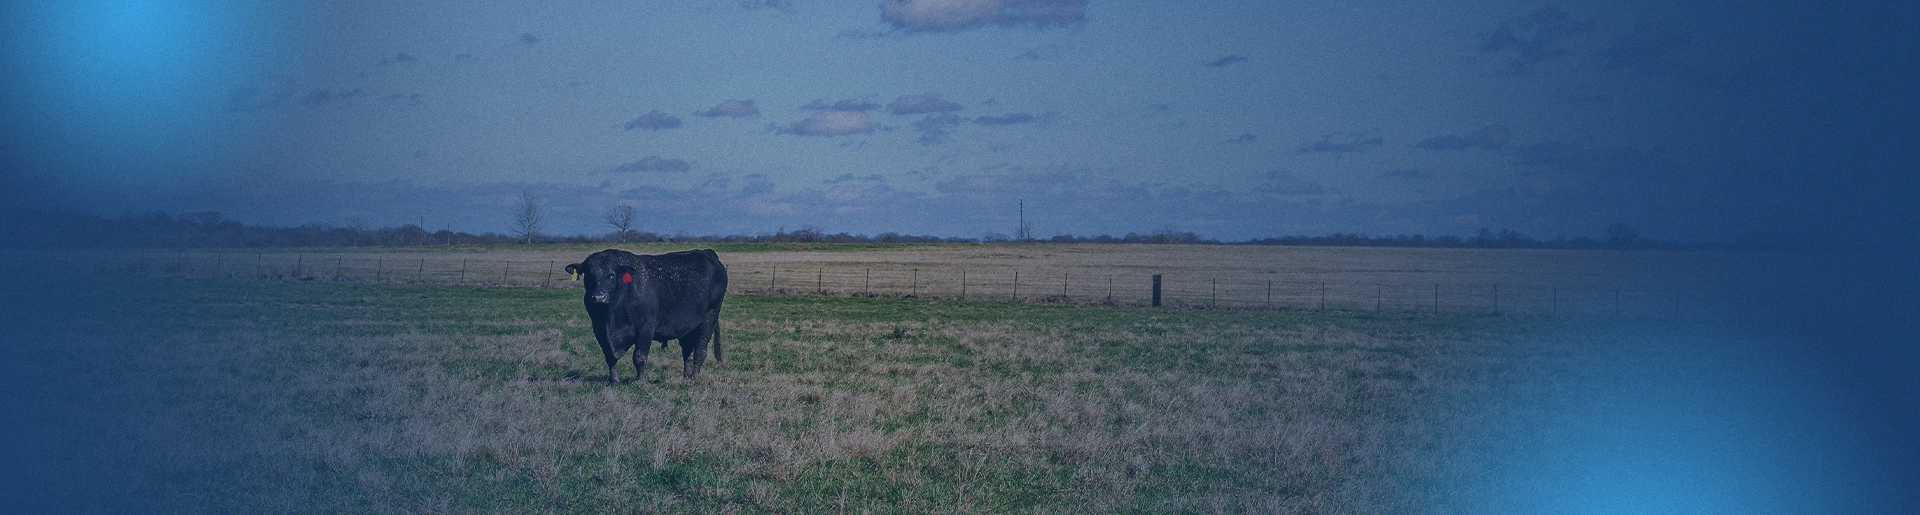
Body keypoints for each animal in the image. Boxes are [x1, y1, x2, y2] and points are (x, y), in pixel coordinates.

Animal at [564, 249, 727, 385]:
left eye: (611, 275)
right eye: (588, 275)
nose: (598, 297)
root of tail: (707, 253)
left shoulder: (646, 328)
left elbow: (639, 356)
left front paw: (640, 380)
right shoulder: (599, 329)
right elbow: (609, 356)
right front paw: (614, 380)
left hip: (709, 317)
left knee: (700, 350)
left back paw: (695, 377)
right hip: (686, 328)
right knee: (688, 351)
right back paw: (686, 376)